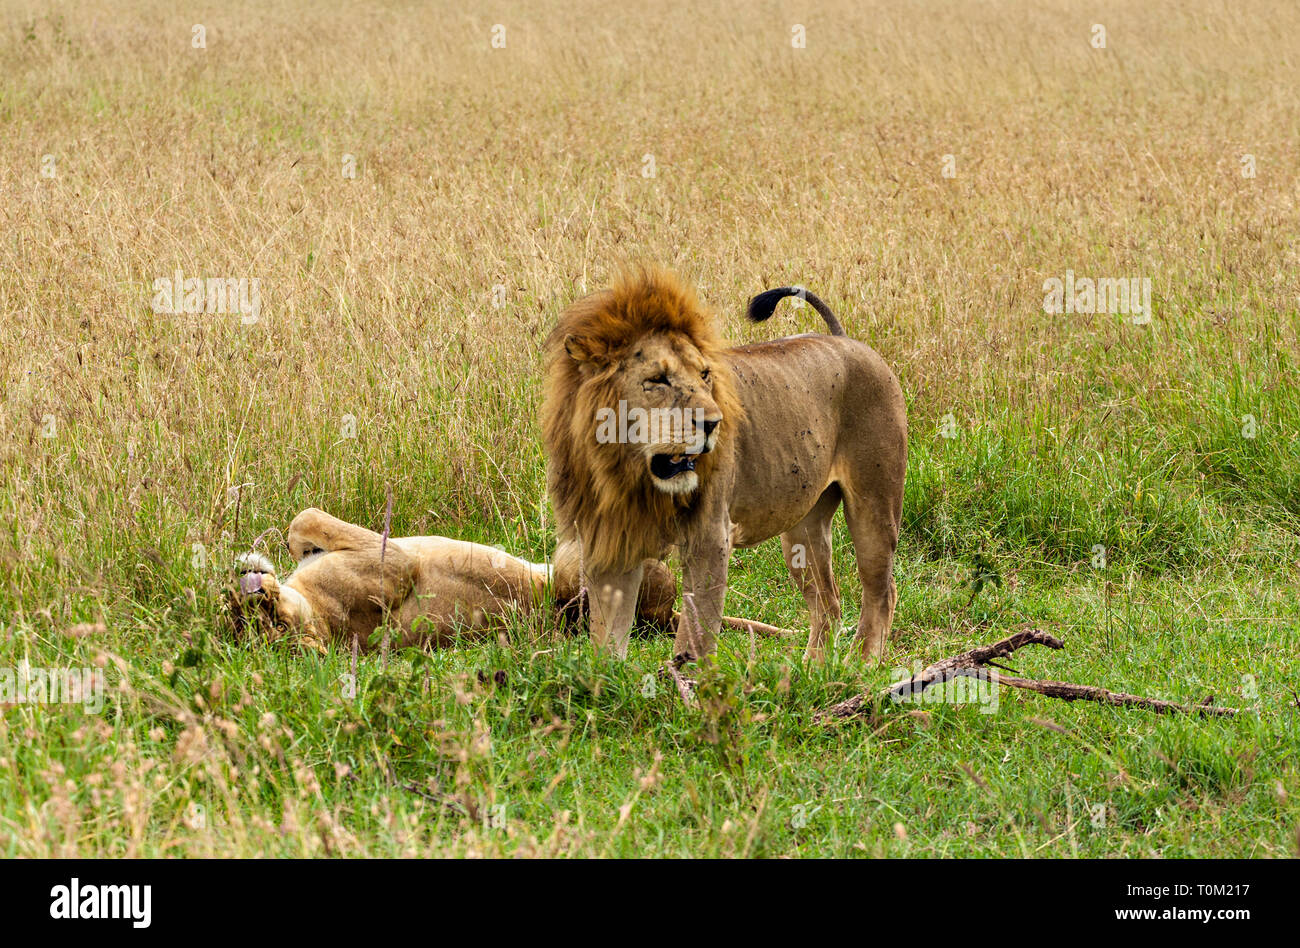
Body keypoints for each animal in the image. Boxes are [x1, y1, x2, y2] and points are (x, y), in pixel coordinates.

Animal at [231, 507, 787, 651]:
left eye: (250, 615)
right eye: (271, 620)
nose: (252, 594)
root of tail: (664, 615)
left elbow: (298, 526)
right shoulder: (392, 563)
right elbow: (305, 516)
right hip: (574, 566)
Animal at [541, 268, 907, 664]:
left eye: (705, 375)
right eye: (657, 379)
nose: (713, 423)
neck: (630, 474)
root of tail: (844, 339)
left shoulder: (711, 536)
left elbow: (695, 634)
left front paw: (684, 677)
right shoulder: (611, 544)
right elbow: (607, 638)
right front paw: (606, 678)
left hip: (874, 504)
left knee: (882, 592)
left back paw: (865, 663)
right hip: (803, 529)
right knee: (829, 602)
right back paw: (814, 669)